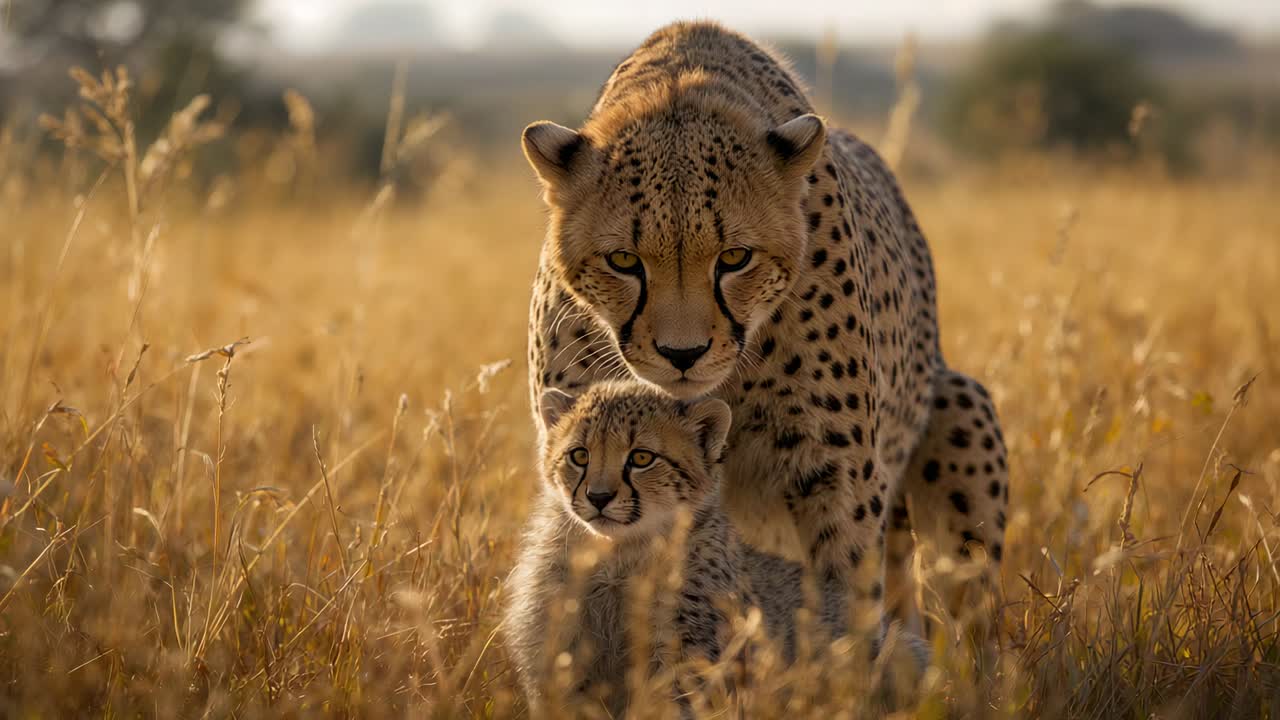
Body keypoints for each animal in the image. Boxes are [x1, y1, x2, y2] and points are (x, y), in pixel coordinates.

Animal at [522, 20, 1008, 654]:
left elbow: (844, 598)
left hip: (961, 417)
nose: (683, 354)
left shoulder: (837, 473)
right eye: (623, 260)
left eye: (735, 258)